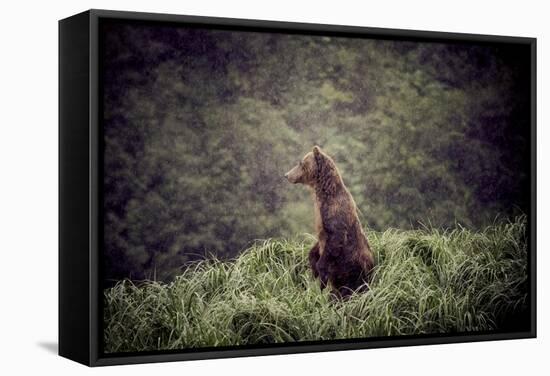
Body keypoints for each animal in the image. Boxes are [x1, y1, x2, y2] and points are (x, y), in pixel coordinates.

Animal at [284, 145, 376, 298]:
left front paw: (320, 277)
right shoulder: (320, 220)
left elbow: (334, 241)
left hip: (354, 272)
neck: (324, 195)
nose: (286, 175)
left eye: (300, 163)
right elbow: (316, 248)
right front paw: (313, 263)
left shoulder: (334, 215)